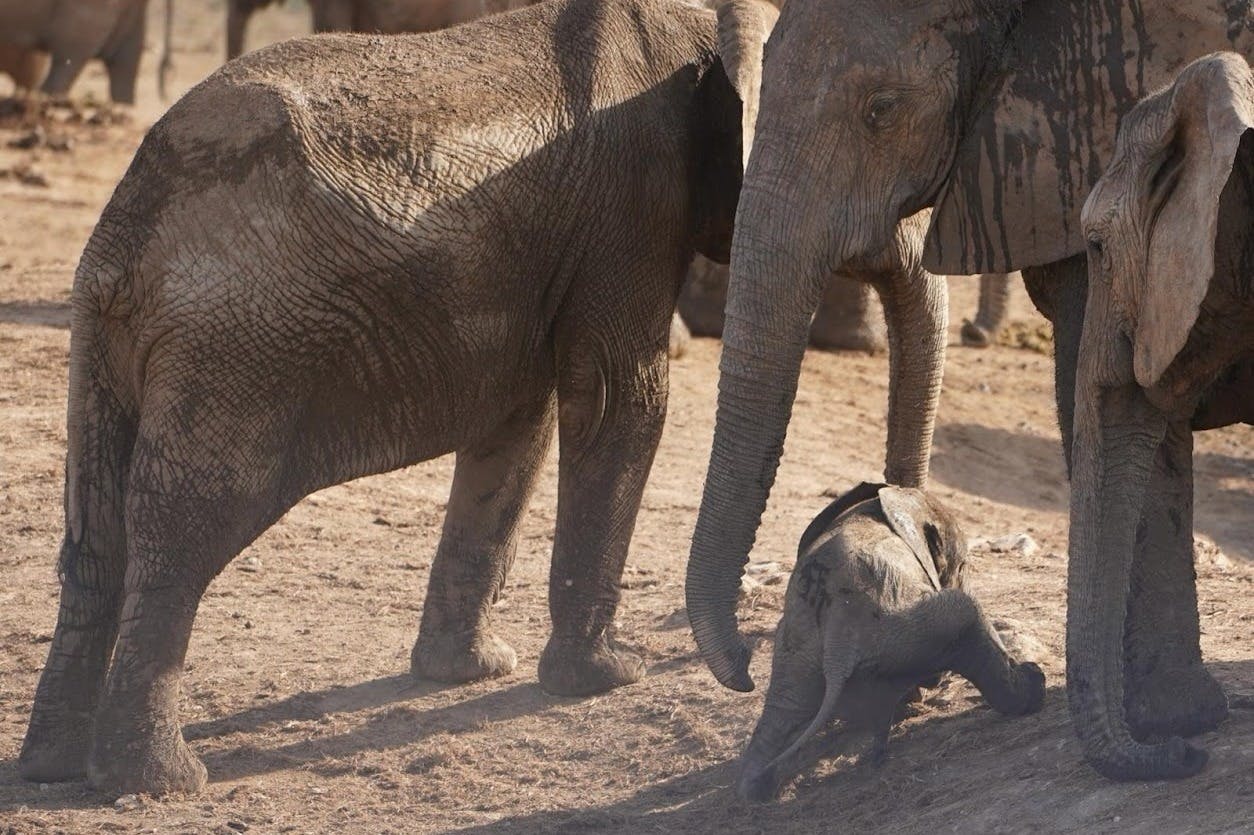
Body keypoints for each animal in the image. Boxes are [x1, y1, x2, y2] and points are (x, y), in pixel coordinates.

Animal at [17, 0, 779, 797]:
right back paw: (159, 781)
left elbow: (518, 421)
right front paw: (608, 678)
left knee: (96, 530)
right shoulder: (634, 204)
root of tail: (131, 224)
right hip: (231, 344)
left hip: (106, 336)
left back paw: (51, 770)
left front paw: (470, 671)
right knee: (183, 524)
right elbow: (618, 402)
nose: (748, 671)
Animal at [738, 482, 1044, 802]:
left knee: (779, 718)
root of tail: (839, 644)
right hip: (909, 630)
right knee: (963, 610)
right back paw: (1034, 685)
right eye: (961, 568)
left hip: (796, 657)